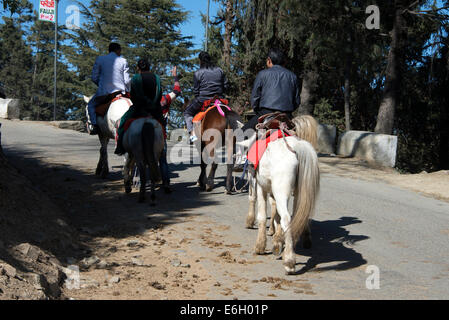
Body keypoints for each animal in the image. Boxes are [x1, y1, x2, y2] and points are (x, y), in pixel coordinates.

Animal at [245, 115, 318, 276]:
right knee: (298, 215)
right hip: (297, 192)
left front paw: (260, 245)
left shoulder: (260, 186)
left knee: (286, 218)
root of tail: (296, 147)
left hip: (279, 190)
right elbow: (274, 212)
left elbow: (262, 215)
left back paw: (289, 261)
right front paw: (277, 240)